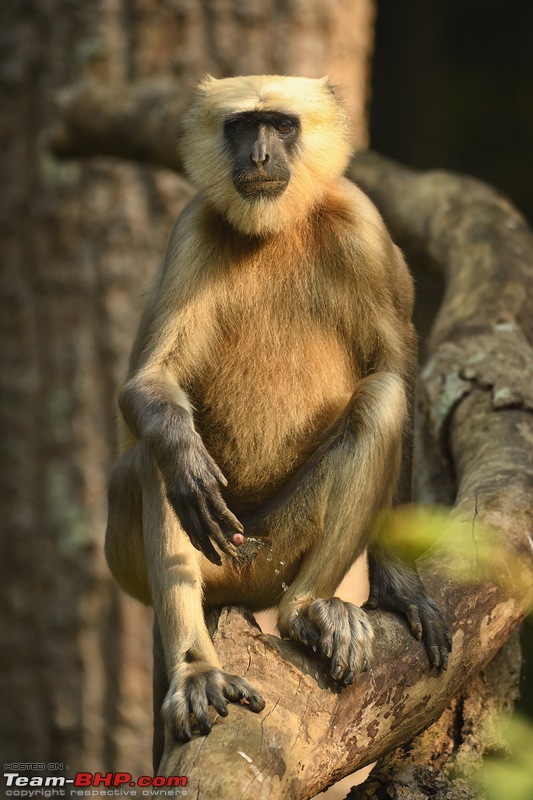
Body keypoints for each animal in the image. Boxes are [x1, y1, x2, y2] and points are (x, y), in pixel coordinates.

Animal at [106, 72, 450, 752]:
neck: (275, 230)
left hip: (269, 553)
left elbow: (397, 373)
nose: (261, 155)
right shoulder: (192, 227)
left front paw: (398, 586)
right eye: (244, 126)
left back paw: (307, 611)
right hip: (187, 551)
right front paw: (184, 457)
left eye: (282, 126)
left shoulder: (362, 224)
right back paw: (196, 670)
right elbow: (146, 387)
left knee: (381, 399)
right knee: (158, 464)